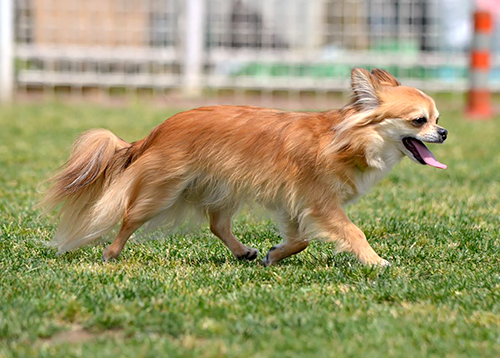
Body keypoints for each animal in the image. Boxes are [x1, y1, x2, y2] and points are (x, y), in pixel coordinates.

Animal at [43, 68, 448, 268]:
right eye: (419, 120)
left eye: (438, 119)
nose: (443, 132)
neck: (348, 141)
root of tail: (157, 131)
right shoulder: (321, 204)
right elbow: (354, 233)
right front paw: (376, 262)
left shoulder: (296, 204)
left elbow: (299, 239)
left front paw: (273, 255)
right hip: (162, 192)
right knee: (129, 219)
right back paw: (111, 255)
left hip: (223, 188)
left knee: (217, 224)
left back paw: (242, 253)